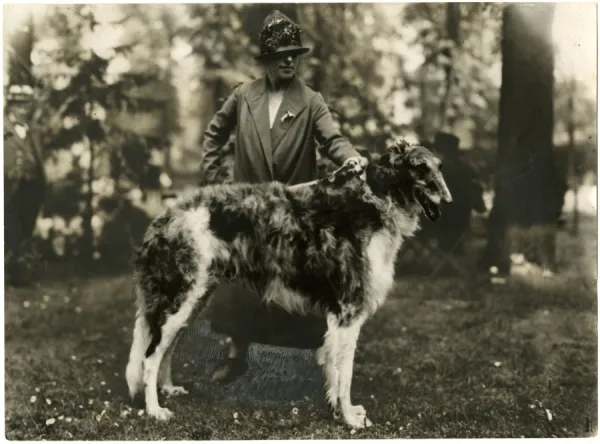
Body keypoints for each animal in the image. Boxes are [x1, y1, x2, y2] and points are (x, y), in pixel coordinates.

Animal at [125, 140, 450, 428]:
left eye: (439, 166)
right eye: (420, 168)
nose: (448, 201)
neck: (376, 199)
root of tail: (163, 217)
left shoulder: (339, 317)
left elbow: (334, 374)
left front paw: (339, 411)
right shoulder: (347, 312)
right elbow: (344, 375)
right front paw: (349, 419)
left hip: (191, 300)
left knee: (165, 350)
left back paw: (168, 390)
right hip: (180, 299)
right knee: (150, 357)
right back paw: (154, 410)